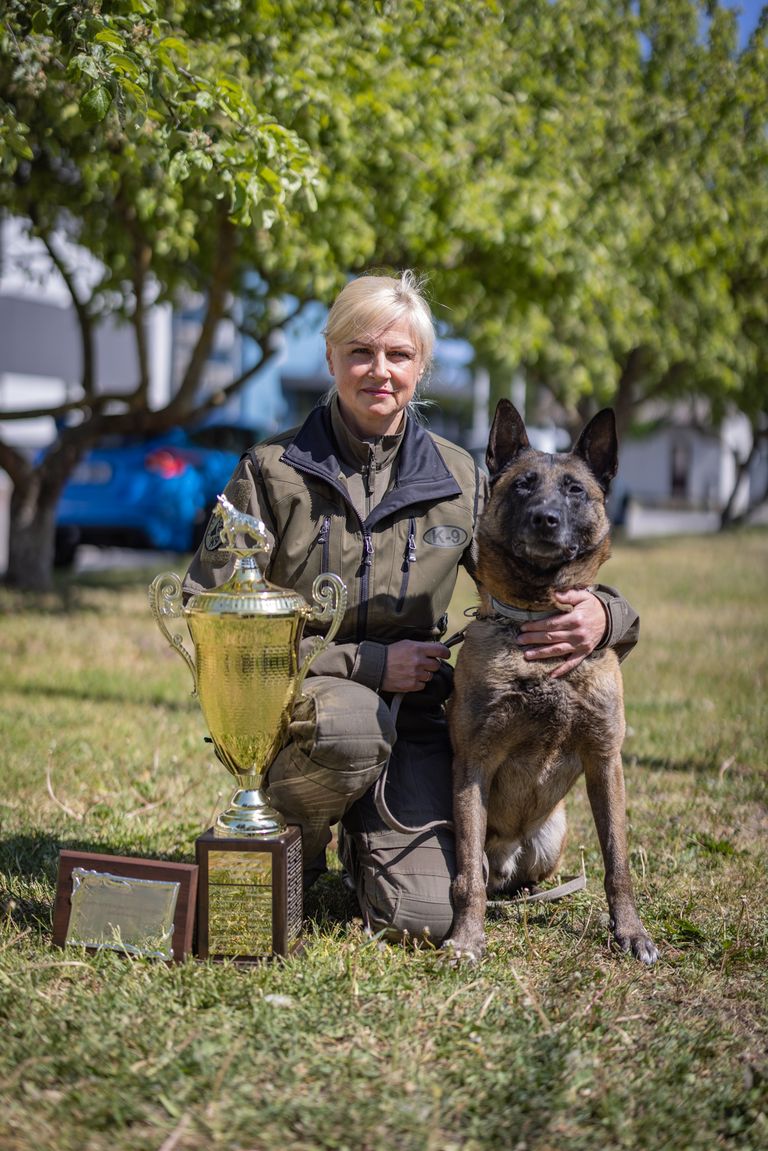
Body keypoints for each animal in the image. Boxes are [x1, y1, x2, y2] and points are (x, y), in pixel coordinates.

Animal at [446, 400, 658, 966]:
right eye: (523, 485)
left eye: (575, 490)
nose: (547, 518)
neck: (538, 615)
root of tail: (507, 853)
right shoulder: (473, 763)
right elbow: (464, 879)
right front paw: (466, 939)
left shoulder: (605, 759)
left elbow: (617, 864)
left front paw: (630, 933)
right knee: (478, 874)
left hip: (550, 837)